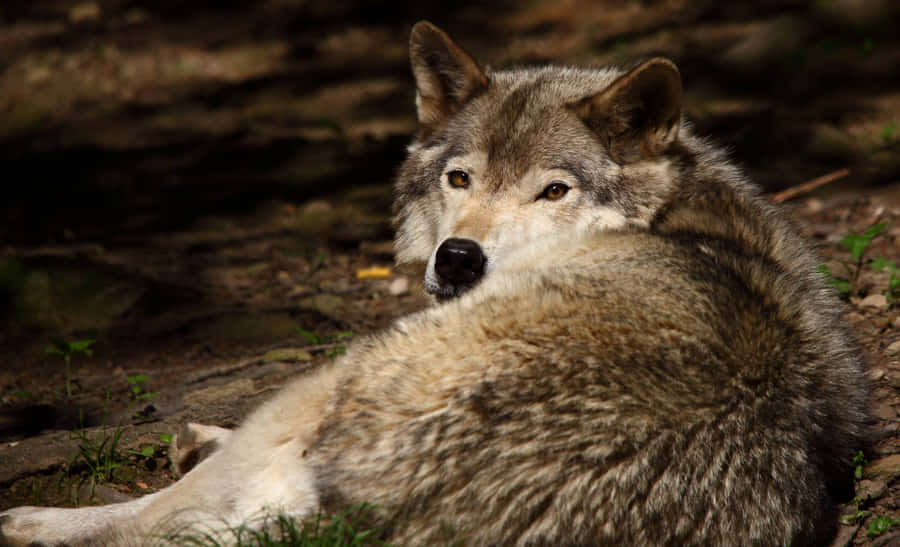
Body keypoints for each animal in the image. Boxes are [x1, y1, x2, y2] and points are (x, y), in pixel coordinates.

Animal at [1, 21, 870, 546]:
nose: (457, 259)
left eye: (553, 191)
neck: (676, 212)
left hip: (334, 375)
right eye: (460, 178)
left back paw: (35, 519)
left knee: (164, 513)